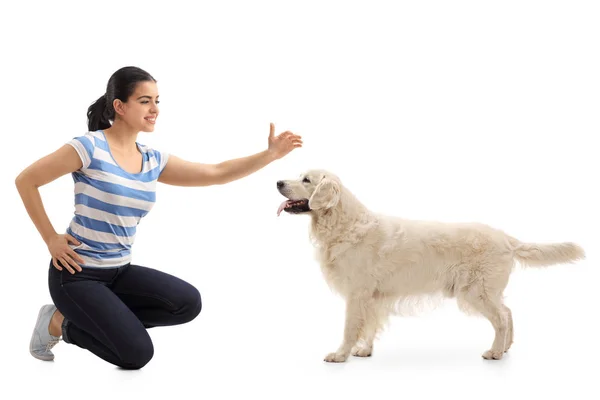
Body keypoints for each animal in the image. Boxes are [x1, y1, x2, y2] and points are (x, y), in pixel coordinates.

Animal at [276, 169, 584, 362]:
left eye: (306, 179)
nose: (278, 182)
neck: (344, 224)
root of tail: (506, 238)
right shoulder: (372, 297)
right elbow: (370, 326)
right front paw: (364, 350)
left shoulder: (357, 293)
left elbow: (350, 328)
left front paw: (340, 354)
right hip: (485, 291)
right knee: (508, 313)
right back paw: (506, 349)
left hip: (476, 291)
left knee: (501, 318)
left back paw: (495, 352)